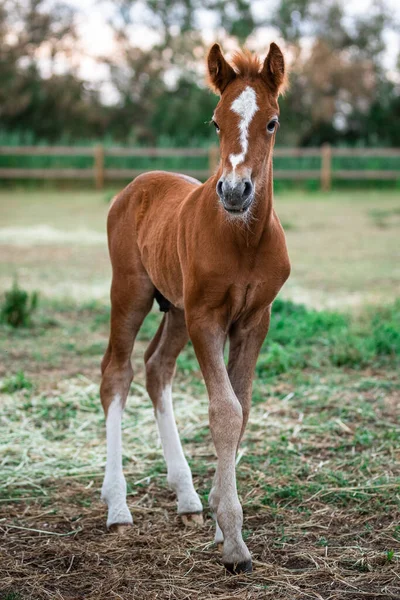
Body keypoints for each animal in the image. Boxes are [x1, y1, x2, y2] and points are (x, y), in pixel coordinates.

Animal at [99, 41, 290, 572]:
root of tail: (135, 184)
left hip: (177, 309)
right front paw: (235, 543)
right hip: (131, 292)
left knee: (156, 368)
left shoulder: (254, 321)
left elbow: (242, 408)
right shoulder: (208, 318)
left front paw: (221, 520)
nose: (234, 191)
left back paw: (186, 499)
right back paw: (117, 507)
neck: (243, 239)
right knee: (116, 373)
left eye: (272, 122)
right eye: (216, 122)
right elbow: (224, 410)